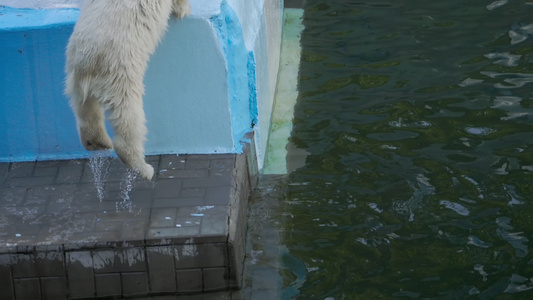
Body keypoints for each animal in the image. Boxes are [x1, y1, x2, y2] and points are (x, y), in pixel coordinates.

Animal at [65, 0, 191, 179]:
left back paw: (97, 142)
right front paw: (184, 10)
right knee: (129, 118)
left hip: (74, 76)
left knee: (84, 108)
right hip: (121, 76)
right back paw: (144, 168)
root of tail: (89, 62)